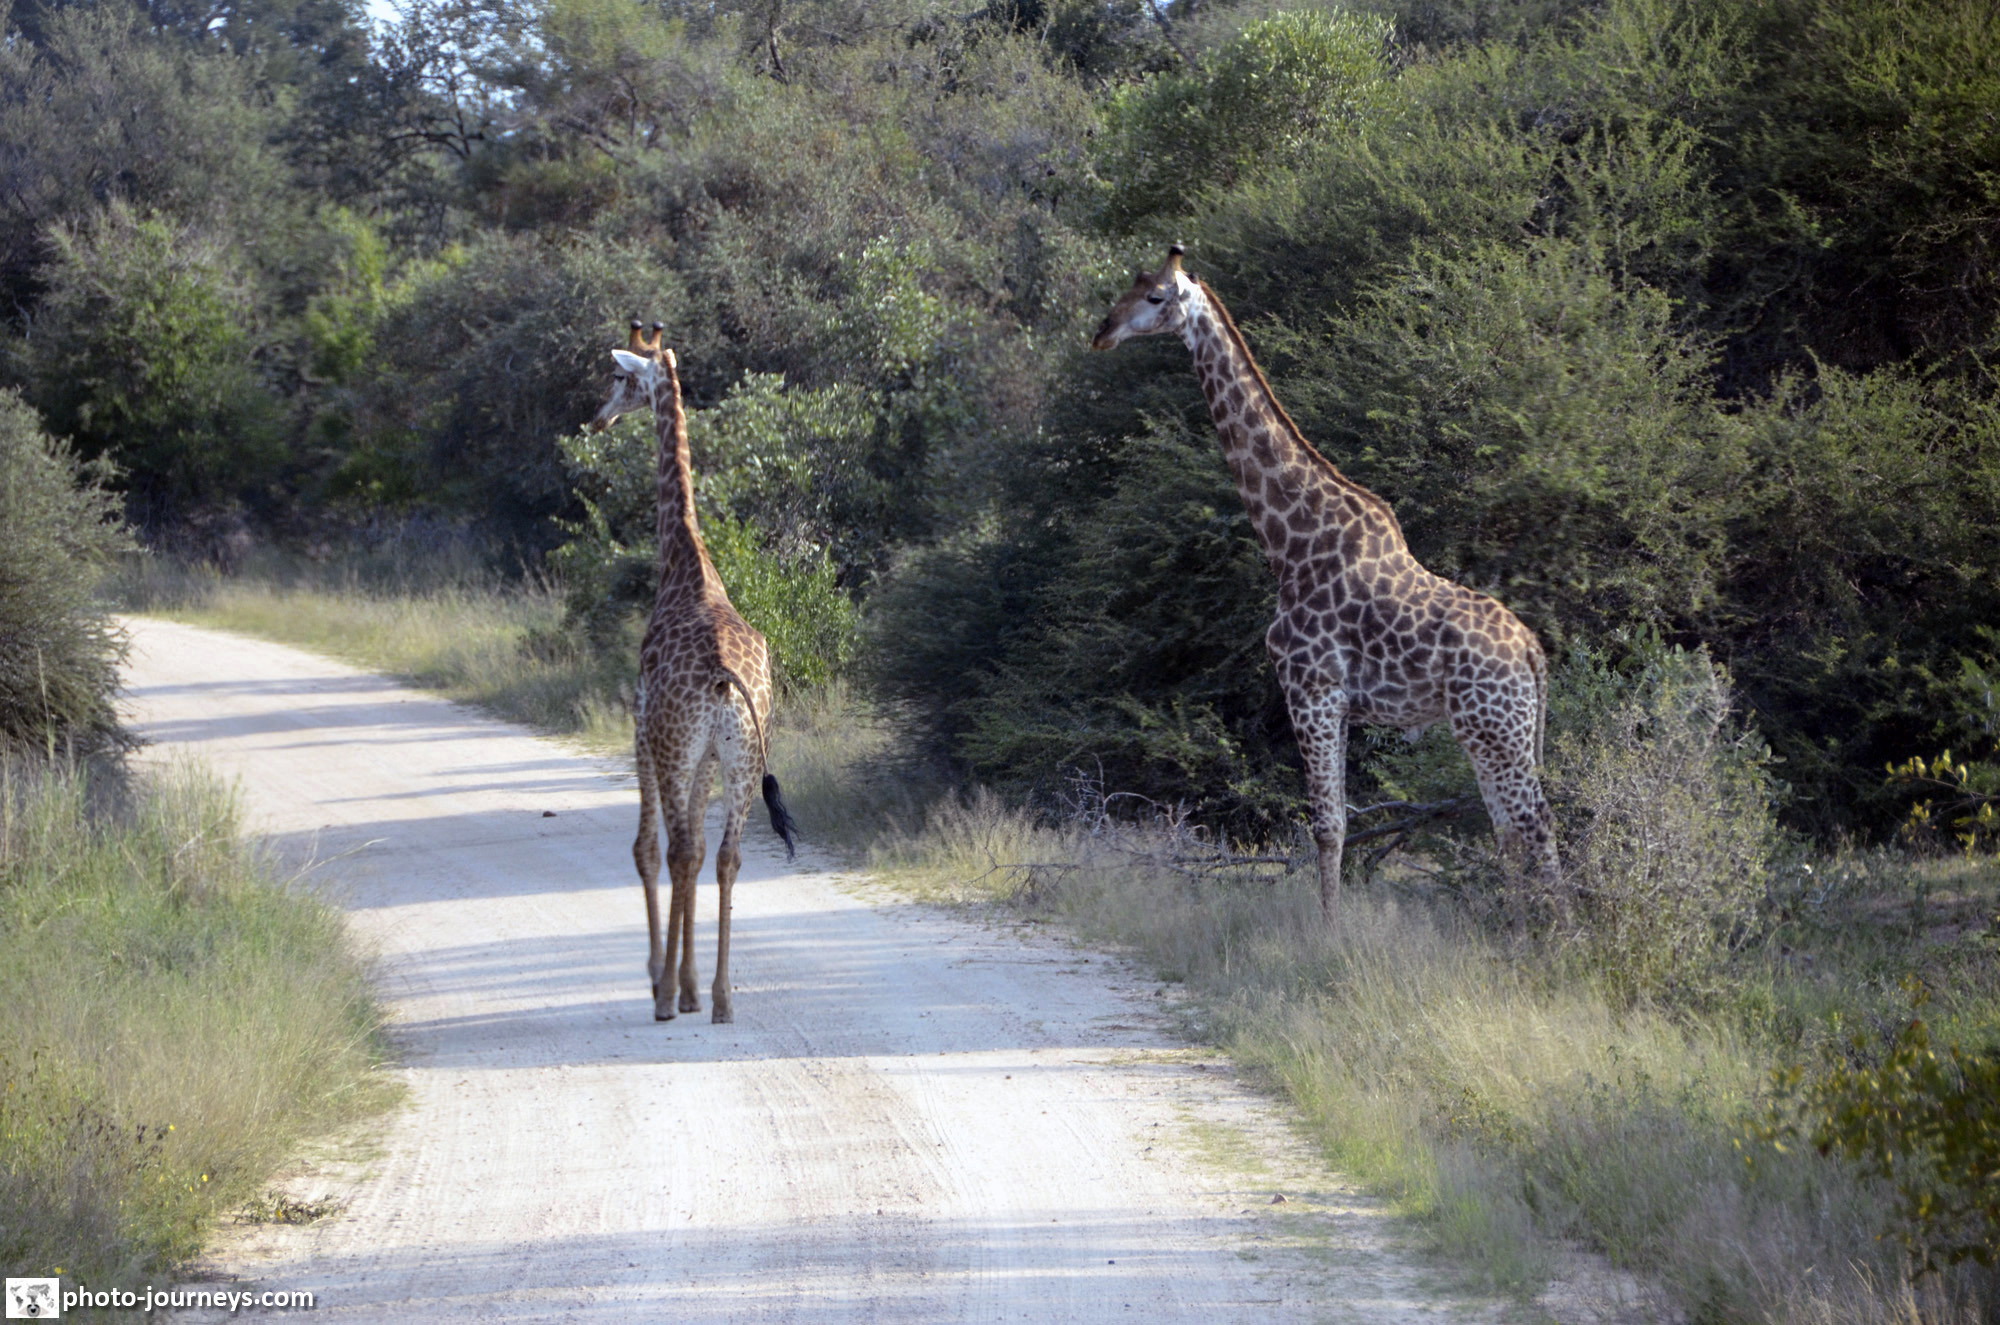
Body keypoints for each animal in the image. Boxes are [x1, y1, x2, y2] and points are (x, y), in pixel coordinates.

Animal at [591, 321, 798, 1022]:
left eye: (620, 377)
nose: (596, 419)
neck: (686, 563)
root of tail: (725, 680)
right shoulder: (706, 755)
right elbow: (702, 852)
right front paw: (685, 982)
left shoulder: (643, 729)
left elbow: (651, 849)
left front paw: (664, 980)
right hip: (740, 758)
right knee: (728, 856)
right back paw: (721, 998)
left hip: (679, 746)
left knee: (676, 849)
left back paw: (672, 996)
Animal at [1092, 247, 1558, 926]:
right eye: (1131, 285)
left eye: (1156, 297)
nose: (1102, 332)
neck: (1291, 545)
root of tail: (1532, 652)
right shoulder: (1334, 702)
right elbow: (1334, 821)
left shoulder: (1310, 689)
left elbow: (1329, 826)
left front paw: (1329, 933)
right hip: (1491, 730)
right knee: (1508, 828)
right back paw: (1518, 929)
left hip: (1493, 724)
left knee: (1537, 826)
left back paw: (1558, 935)